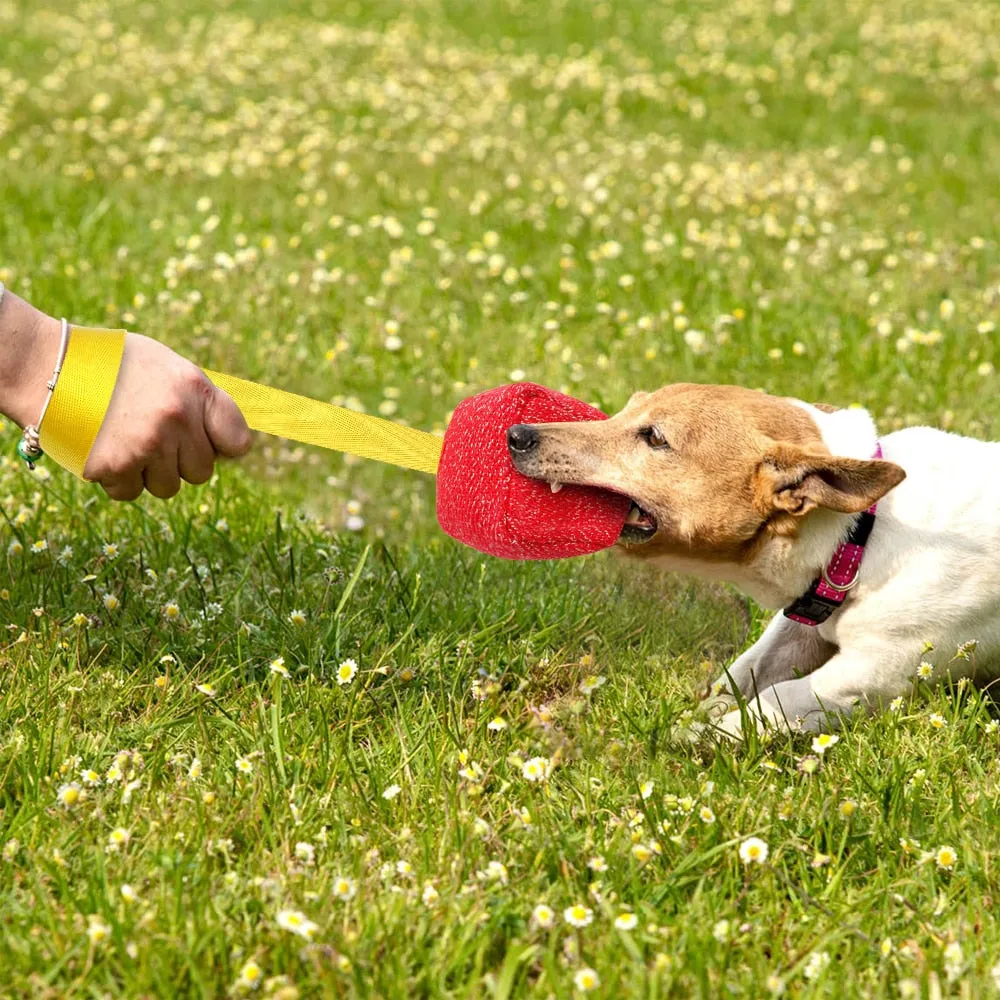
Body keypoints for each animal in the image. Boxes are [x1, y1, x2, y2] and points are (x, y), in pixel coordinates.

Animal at [508, 382, 1000, 736]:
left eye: (654, 437)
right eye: (629, 408)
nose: (517, 434)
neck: (860, 534)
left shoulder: (878, 670)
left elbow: (781, 697)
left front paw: (703, 736)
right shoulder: (798, 627)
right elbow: (742, 672)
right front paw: (701, 716)